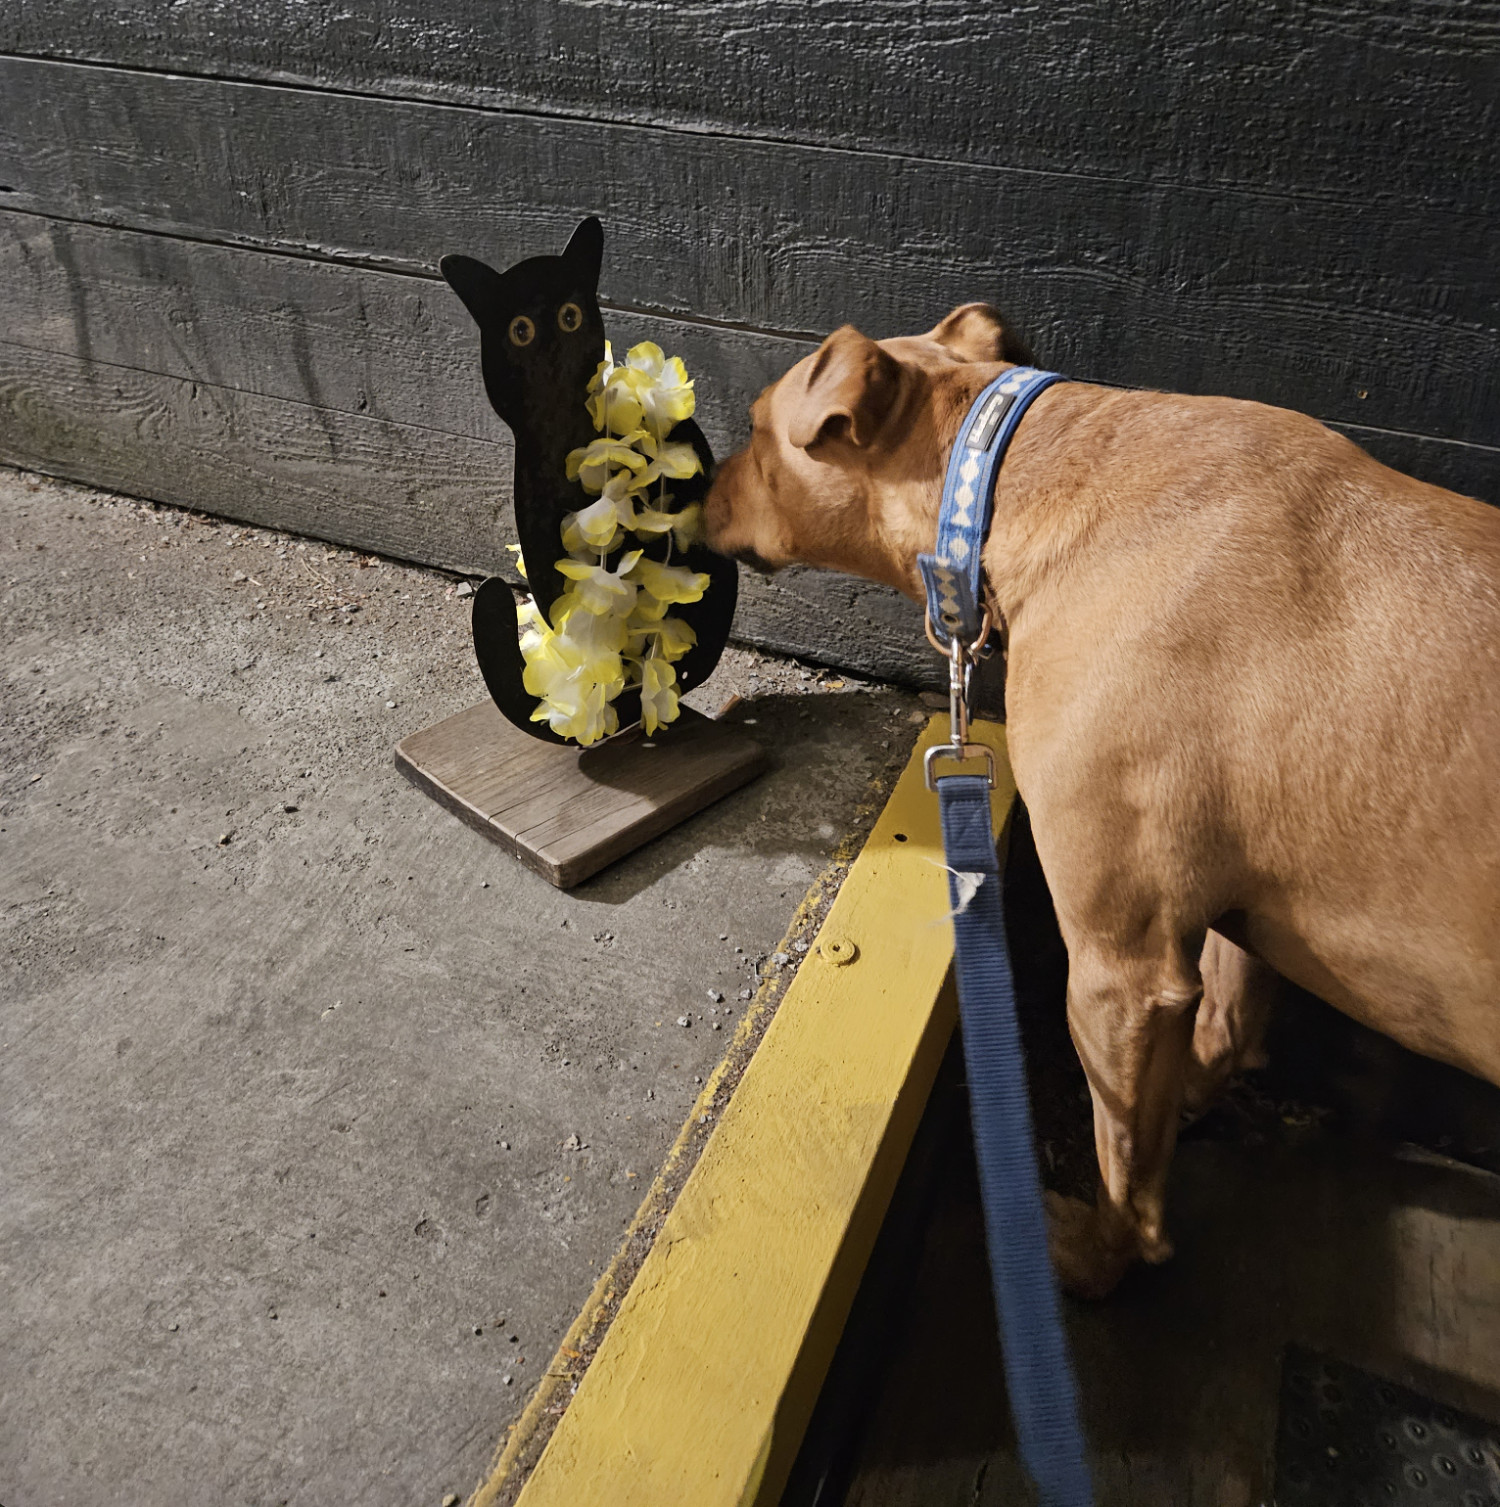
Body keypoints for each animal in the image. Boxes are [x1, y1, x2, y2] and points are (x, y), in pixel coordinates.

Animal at [702, 305, 1500, 1296]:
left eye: (753, 425)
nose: (698, 487)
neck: (1014, 470)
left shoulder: (1124, 963)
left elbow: (1125, 1159)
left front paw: (1096, 1254)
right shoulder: (1226, 909)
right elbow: (1222, 1028)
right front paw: (1193, 1096)